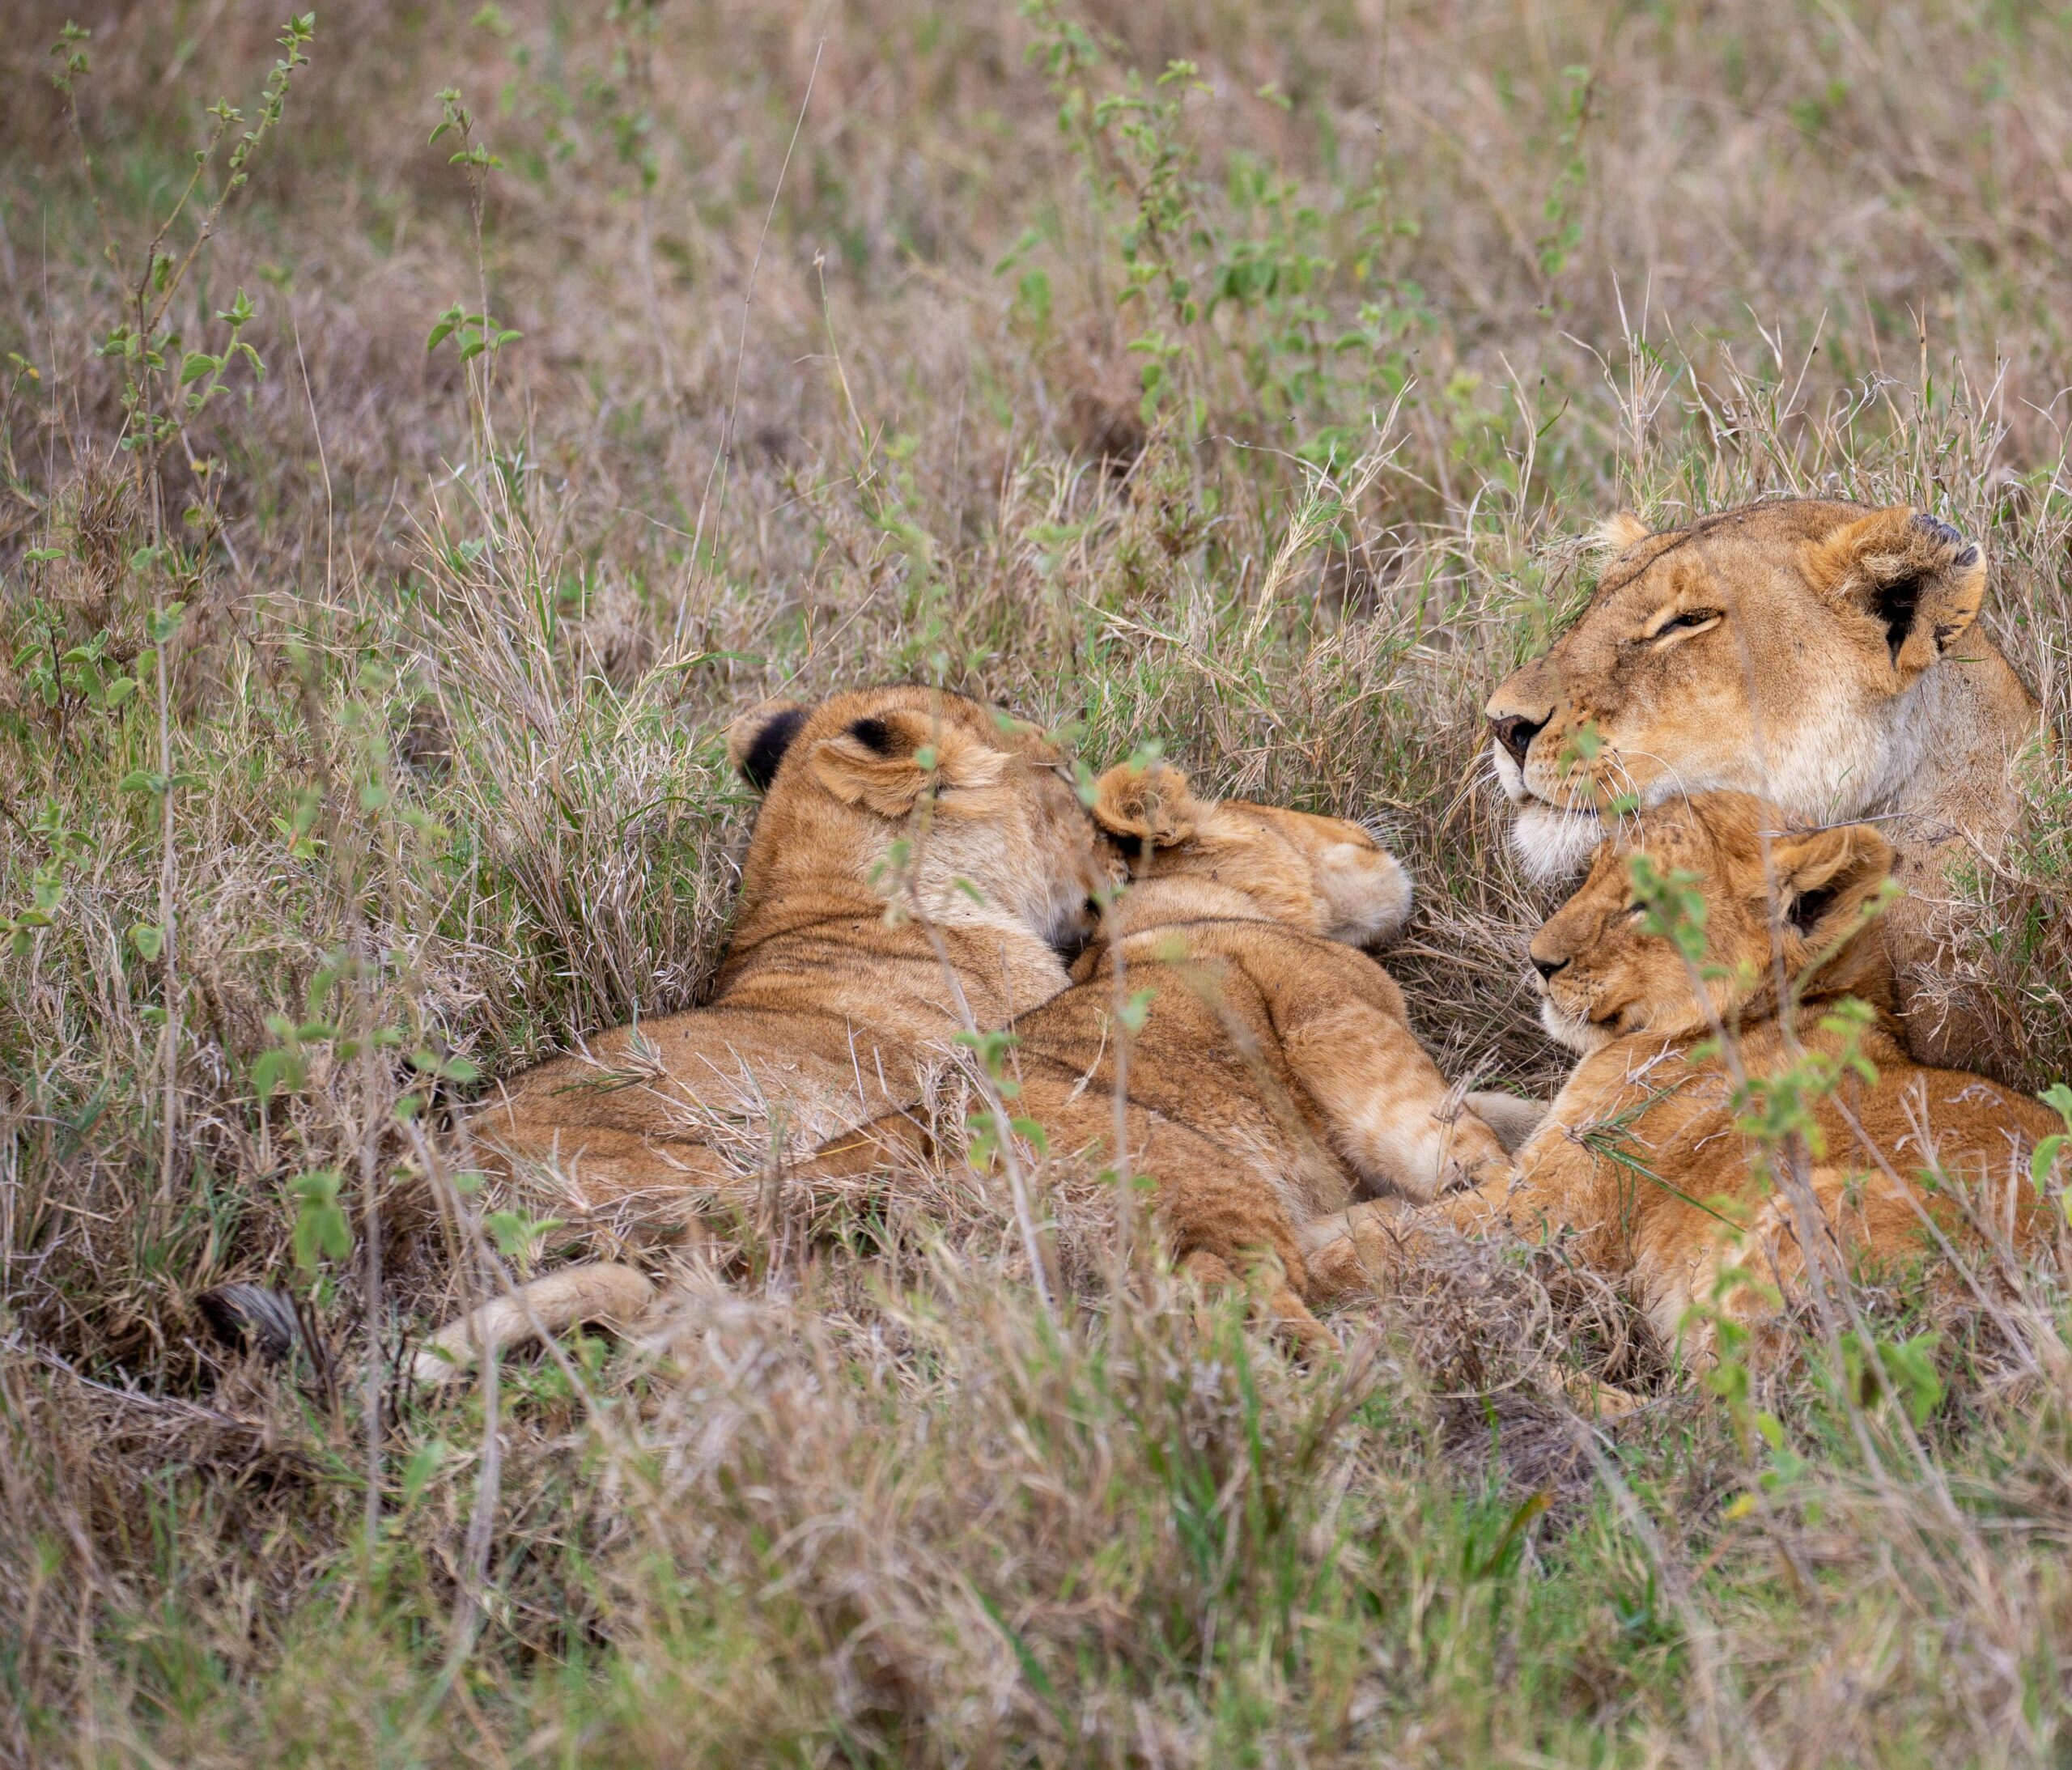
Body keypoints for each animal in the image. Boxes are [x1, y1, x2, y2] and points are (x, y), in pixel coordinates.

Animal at [1305, 791, 2062, 1364]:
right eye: (1592, 871)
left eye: (1645, 900)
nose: (1538, 960)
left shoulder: (1549, 1218)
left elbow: (1389, 1246)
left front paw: (1294, 1270)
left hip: (1796, 1221)